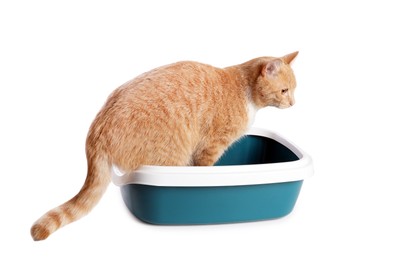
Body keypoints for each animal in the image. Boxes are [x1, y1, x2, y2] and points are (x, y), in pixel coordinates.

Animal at [31, 51, 298, 241]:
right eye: (284, 90)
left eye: (294, 90)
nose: (294, 103)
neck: (245, 92)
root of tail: (97, 132)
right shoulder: (210, 147)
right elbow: (205, 168)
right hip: (173, 157)